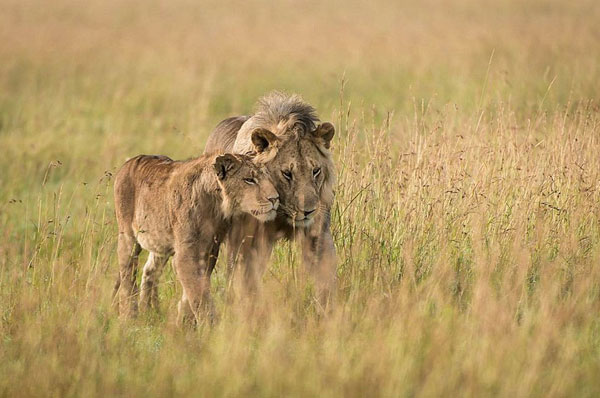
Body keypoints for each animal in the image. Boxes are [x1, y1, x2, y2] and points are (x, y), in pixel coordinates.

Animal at [114, 145, 278, 324]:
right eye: (249, 180)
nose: (275, 198)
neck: (217, 204)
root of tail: (129, 162)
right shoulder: (186, 253)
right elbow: (198, 293)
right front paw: (209, 325)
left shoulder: (209, 250)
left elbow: (197, 287)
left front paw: (184, 319)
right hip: (127, 236)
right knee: (127, 274)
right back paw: (129, 316)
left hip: (160, 243)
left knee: (150, 271)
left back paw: (148, 311)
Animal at [204, 91, 338, 302]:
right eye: (287, 173)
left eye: (316, 171)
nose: (308, 211)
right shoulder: (246, 241)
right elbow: (245, 282)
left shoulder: (318, 235)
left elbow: (326, 278)